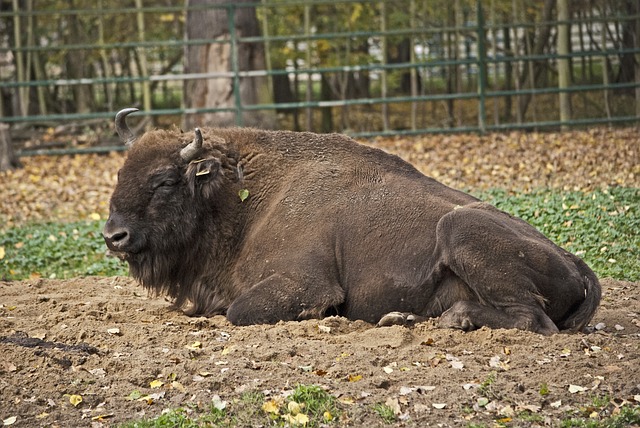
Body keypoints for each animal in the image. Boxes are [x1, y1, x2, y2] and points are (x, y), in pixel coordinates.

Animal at [101, 107, 600, 334]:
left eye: (166, 181)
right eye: (121, 174)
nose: (113, 236)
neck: (241, 199)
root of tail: (578, 264)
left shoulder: (308, 283)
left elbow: (240, 311)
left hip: (460, 232)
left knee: (533, 319)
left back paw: (453, 319)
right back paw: (403, 317)